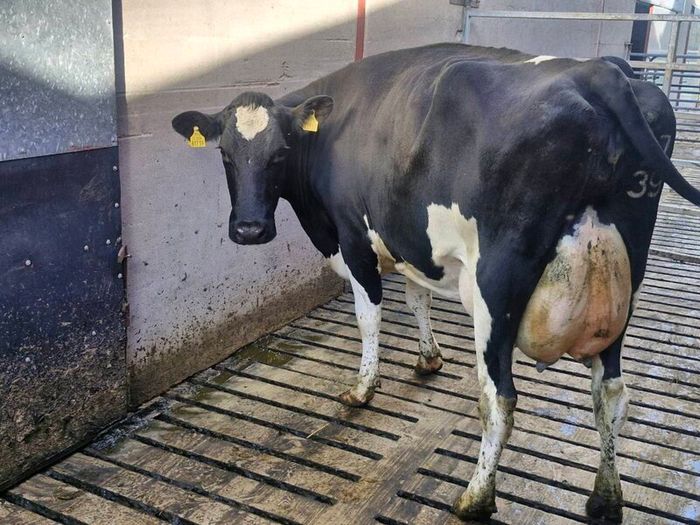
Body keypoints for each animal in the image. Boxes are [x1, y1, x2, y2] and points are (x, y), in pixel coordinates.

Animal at [172, 43, 699, 524]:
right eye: (225, 154)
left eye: (280, 153)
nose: (249, 230)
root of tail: (597, 70)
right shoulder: (410, 243)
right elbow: (417, 299)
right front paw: (429, 358)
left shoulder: (354, 237)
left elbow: (369, 316)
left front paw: (362, 388)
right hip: (626, 278)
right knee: (610, 393)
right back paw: (606, 499)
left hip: (497, 283)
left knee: (499, 397)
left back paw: (475, 498)